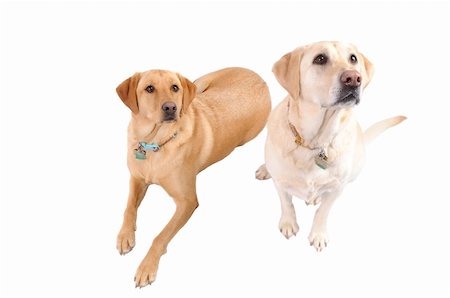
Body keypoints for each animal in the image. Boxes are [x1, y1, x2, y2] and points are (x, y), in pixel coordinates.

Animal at [116, 67, 270, 286]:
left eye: (174, 87)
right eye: (149, 88)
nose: (171, 107)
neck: (155, 144)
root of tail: (259, 77)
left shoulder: (187, 201)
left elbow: (160, 236)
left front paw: (147, 267)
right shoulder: (136, 178)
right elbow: (129, 208)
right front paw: (125, 236)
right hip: (200, 83)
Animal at [255, 41, 406, 251]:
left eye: (353, 58)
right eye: (320, 58)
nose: (354, 78)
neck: (314, 142)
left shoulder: (338, 188)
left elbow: (323, 211)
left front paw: (318, 234)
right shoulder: (280, 181)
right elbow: (287, 203)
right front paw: (288, 223)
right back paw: (264, 169)